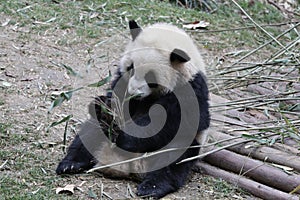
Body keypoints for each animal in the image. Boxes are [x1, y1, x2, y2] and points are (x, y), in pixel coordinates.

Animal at [56, 20, 211, 198]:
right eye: (131, 67)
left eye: (150, 77)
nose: (133, 92)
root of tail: (128, 167)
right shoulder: (122, 81)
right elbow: (116, 103)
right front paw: (104, 108)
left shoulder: (190, 89)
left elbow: (175, 121)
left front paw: (125, 137)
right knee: (89, 134)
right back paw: (71, 164)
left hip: (185, 145)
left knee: (173, 159)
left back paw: (152, 187)